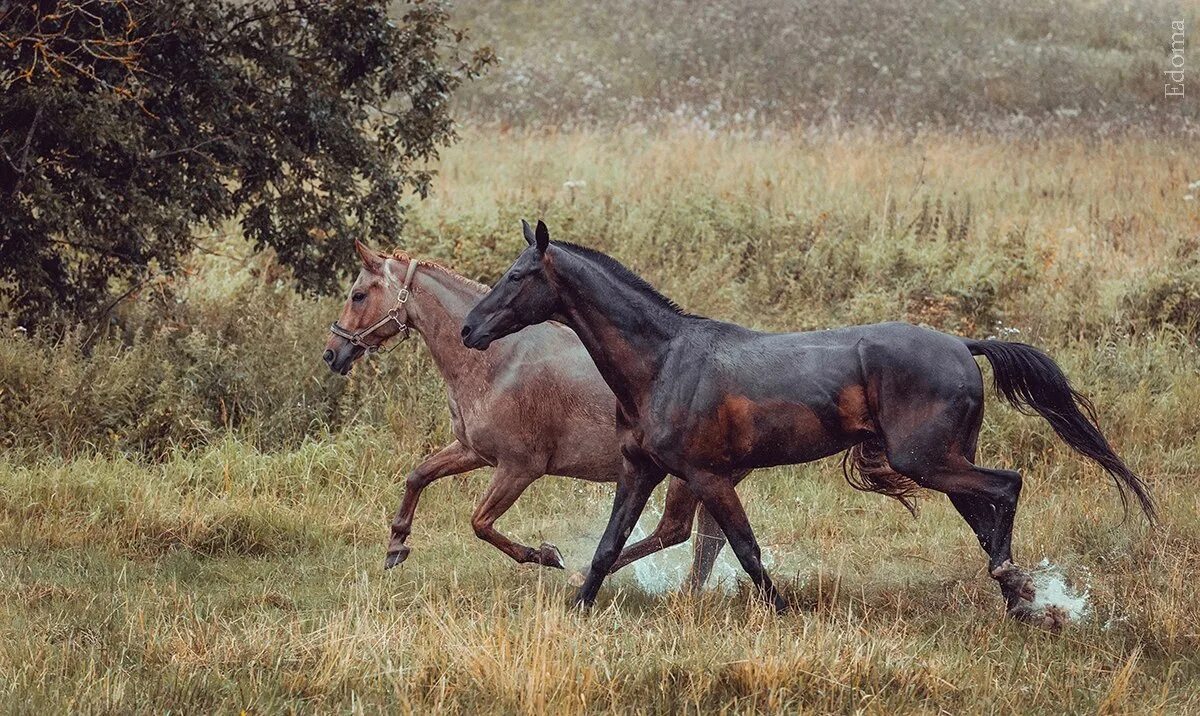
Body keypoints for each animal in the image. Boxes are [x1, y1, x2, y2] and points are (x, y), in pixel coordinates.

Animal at [321, 237, 729, 582]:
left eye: (358, 295)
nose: (331, 354)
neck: (498, 361)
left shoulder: (520, 468)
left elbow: (480, 522)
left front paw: (547, 555)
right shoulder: (473, 451)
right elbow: (418, 475)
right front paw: (396, 544)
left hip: (685, 478)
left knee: (676, 531)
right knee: (707, 539)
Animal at [458, 220, 1152, 623]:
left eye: (519, 275)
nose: (470, 329)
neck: (663, 362)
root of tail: (962, 343)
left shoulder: (708, 475)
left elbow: (744, 548)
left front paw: (784, 612)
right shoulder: (642, 471)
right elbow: (608, 547)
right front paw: (575, 604)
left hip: (924, 460)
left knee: (1006, 486)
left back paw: (1017, 588)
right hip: (942, 460)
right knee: (985, 515)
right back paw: (1022, 602)